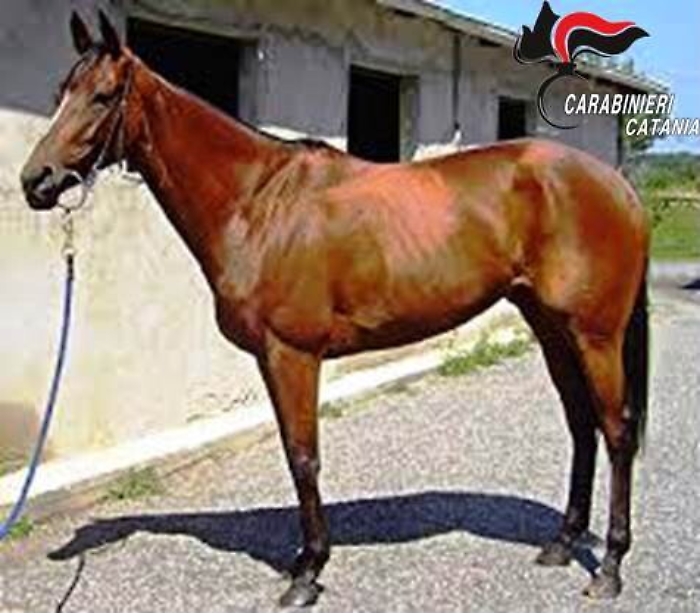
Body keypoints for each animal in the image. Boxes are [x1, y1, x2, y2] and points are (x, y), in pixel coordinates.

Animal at [20, 11, 650, 608]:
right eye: (61, 92)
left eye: (103, 96)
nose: (35, 181)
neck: (258, 204)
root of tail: (617, 185)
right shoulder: (272, 359)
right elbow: (293, 453)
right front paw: (305, 561)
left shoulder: (293, 354)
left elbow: (304, 457)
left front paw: (308, 572)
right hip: (550, 327)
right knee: (581, 424)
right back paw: (563, 544)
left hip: (595, 335)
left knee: (616, 432)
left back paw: (611, 568)